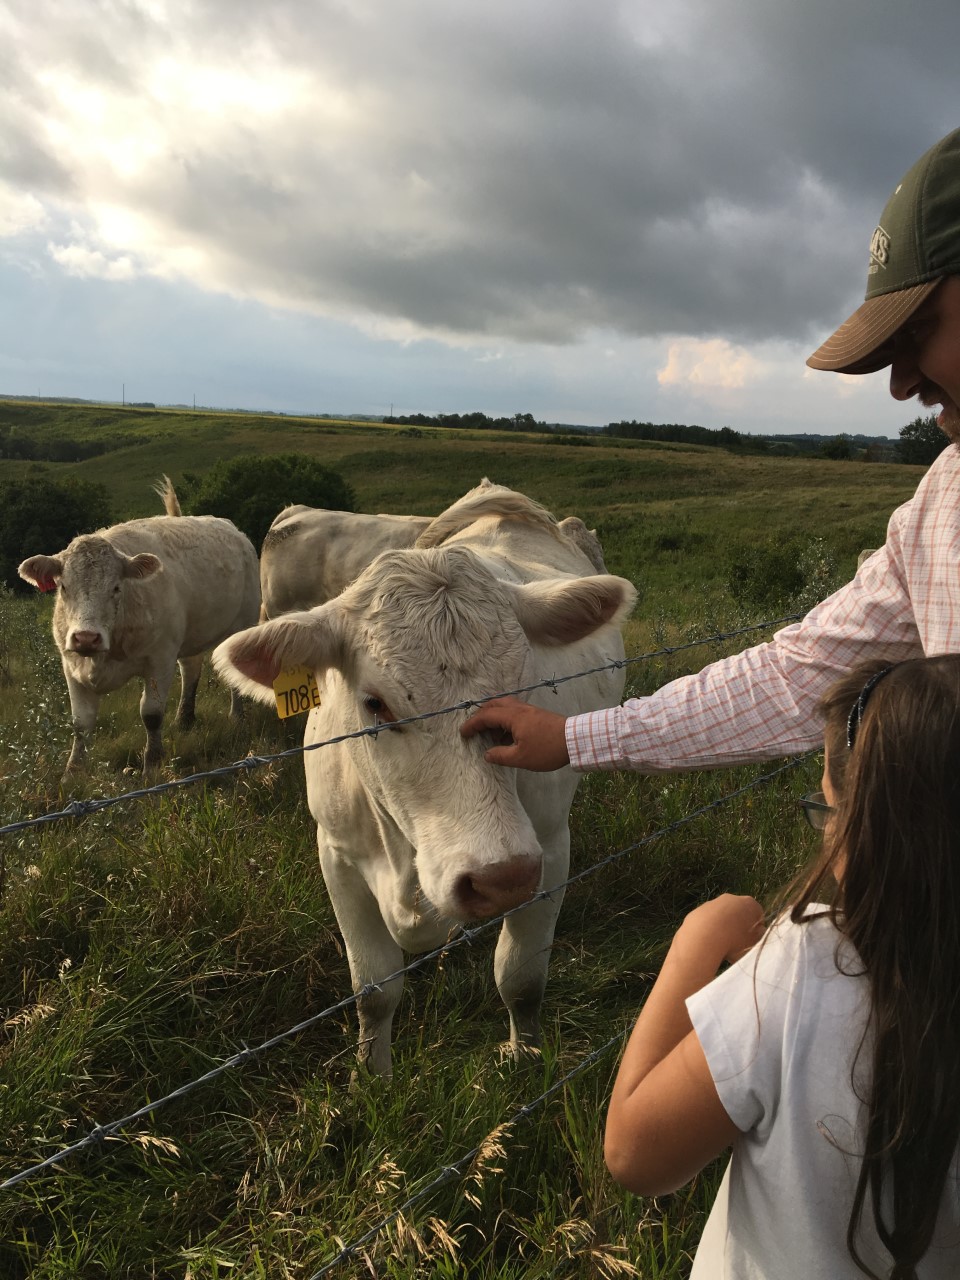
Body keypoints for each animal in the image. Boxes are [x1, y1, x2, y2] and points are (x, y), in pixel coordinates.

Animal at [213, 483, 634, 1075]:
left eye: (522, 687)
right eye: (374, 702)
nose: (499, 877)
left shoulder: (549, 849)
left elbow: (520, 977)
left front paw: (524, 1055)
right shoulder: (335, 855)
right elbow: (373, 990)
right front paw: (372, 1078)